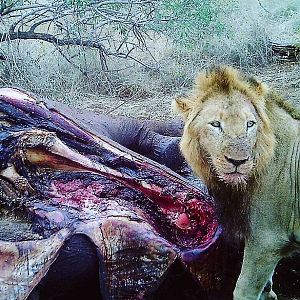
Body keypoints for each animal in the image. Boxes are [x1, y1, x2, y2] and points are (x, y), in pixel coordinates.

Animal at [173, 66, 300, 300]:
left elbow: (244, 289)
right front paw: (270, 294)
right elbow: (266, 284)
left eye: (250, 124)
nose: (238, 161)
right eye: (216, 124)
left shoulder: (267, 240)